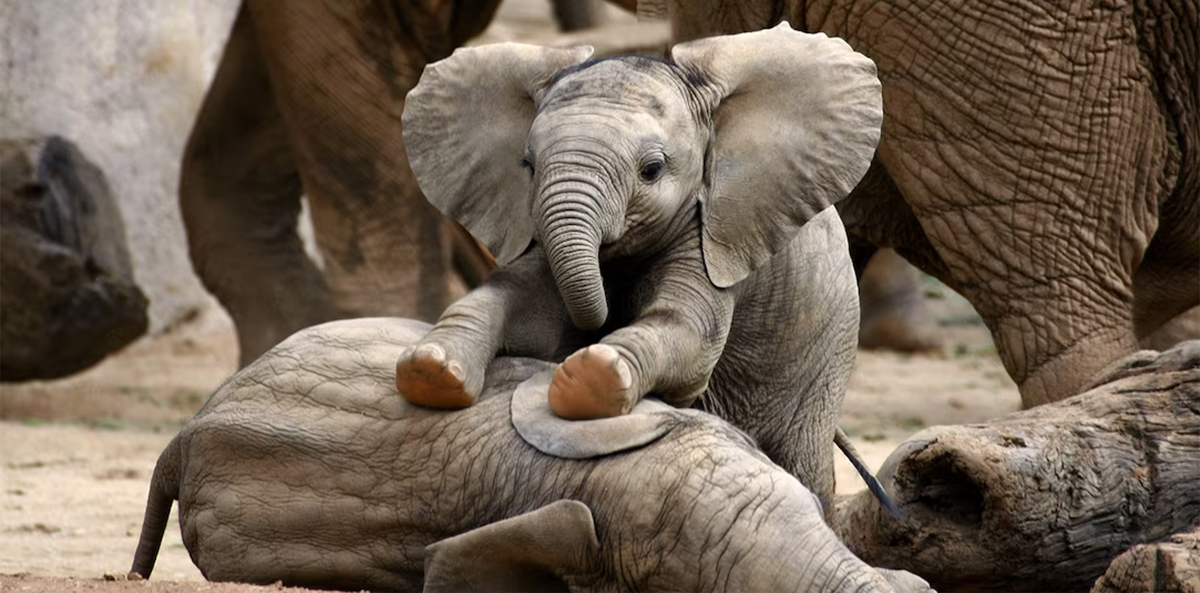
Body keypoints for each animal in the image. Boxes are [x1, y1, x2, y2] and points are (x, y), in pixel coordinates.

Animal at [393, 24, 882, 505]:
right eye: (527, 165)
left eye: (651, 170)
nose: (600, 323)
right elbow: (521, 305)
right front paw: (429, 369)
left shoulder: (715, 233)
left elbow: (688, 333)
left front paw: (589, 377)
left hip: (827, 356)